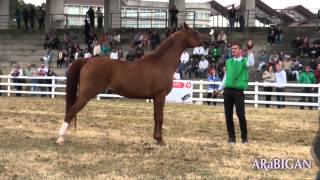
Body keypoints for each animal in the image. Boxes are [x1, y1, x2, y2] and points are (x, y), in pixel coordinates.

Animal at [56, 23, 209, 145]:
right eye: (195, 32)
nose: (208, 40)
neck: (161, 63)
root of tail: (88, 60)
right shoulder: (160, 96)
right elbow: (160, 117)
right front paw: (160, 140)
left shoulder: (155, 98)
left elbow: (155, 117)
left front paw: (156, 138)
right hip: (86, 94)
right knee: (71, 110)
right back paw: (60, 138)